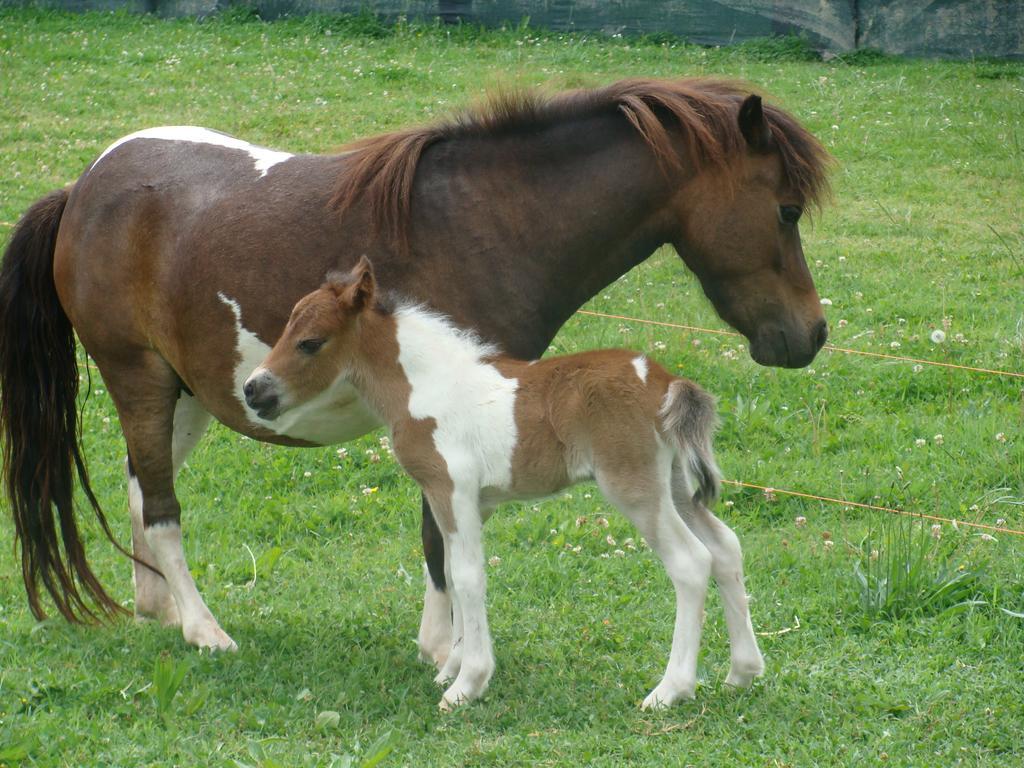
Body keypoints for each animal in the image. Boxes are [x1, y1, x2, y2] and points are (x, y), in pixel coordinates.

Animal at [0, 78, 831, 663]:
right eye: (786, 210)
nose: (812, 335)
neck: (491, 221)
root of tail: (81, 189)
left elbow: (446, 536)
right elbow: (443, 541)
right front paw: (447, 650)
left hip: (186, 395)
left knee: (144, 490)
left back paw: (159, 607)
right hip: (138, 378)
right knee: (164, 508)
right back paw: (204, 630)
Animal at [243, 259, 765, 708]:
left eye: (310, 342)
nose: (253, 389)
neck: (425, 387)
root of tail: (664, 382)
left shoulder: (450, 490)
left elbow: (467, 576)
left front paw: (467, 685)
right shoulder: (474, 501)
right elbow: (451, 571)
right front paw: (452, 668)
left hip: (635, 488)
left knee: (691, 563)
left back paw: (670, 690)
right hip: (675, 485)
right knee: (726, 548)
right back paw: (741, 672)